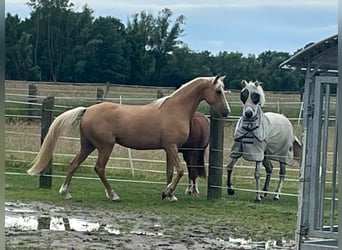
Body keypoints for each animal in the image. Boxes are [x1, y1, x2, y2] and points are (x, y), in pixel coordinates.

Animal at [27, 74, 230, 201]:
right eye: (218, 91)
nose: (226, 112)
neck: (174, 110)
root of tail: (87, 110)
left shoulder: (168, 149)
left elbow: (170, 172)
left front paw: (170, 195)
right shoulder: (172, 147)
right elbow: (180, 171)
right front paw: (167, 192)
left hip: (88, 146)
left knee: (73, 164)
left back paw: (65, 192)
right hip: (105, 146)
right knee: (99, 168)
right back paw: (113, 195)